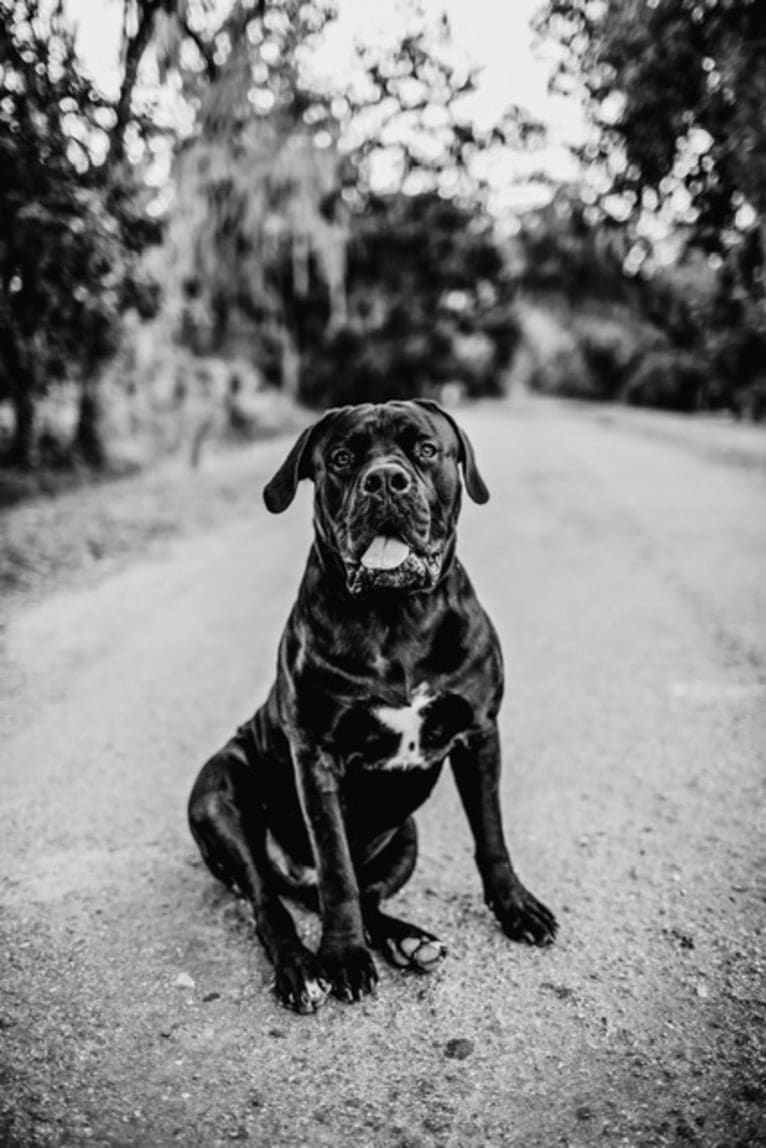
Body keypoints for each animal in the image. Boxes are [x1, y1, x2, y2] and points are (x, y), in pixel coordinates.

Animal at [187, 399, 558, 1010]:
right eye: (341, 458)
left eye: (426, 449)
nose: (384, 479)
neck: (395, 615)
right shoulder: (317, 757)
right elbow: (336, 869)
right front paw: (341, 957)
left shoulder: (480, 733)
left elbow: (491, 834)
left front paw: (516, 906)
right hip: (218, 794)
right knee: (271, 903)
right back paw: (303, 968)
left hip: (405, 838)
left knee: (366, 899)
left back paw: (410, 941)